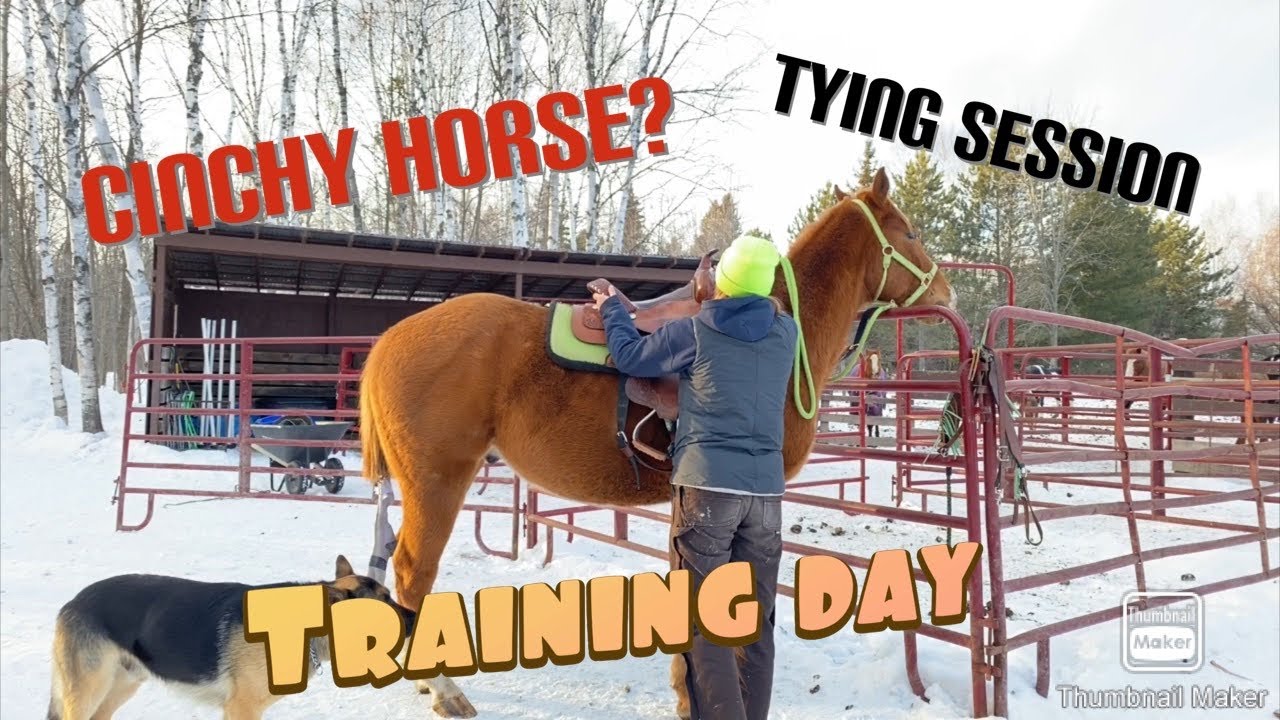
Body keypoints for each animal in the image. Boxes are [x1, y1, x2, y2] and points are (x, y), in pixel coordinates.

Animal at [357, 168, 955, 718]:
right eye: (910, 231)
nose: (946, 289)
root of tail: (388, 340)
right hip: (437, 481)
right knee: (412, 571)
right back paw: (444, 690)